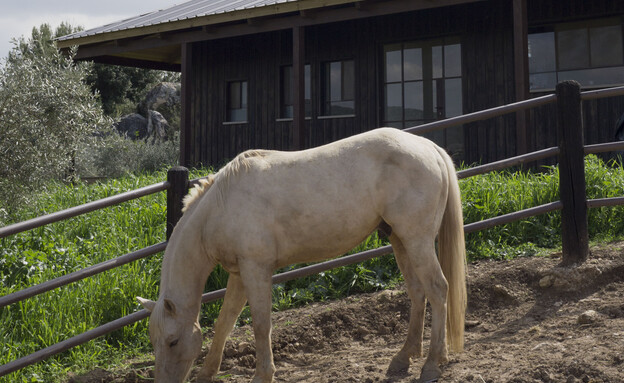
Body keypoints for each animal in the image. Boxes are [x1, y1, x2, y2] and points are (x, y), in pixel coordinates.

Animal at [139, 128, 466, 383]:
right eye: (155, 342)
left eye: (172, 341)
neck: (220, 206)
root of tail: (429, 148)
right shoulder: (239, 273)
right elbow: (225, 322)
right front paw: (207, 373)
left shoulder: (256, 270)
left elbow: (261, 324)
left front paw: (263, 374)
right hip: (399, 240)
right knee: (417, 292)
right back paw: (404, 357)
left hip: (417, 240)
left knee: (438, 289)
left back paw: (432, 364)